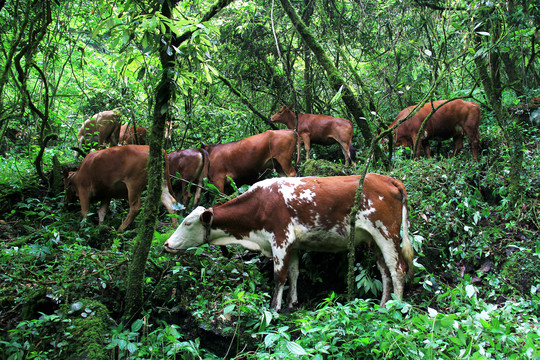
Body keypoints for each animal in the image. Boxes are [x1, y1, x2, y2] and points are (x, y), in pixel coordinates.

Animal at [163, 173, 414, 310]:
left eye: (187, 223)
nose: (166, 244)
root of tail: (387, 179)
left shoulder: (280, 238)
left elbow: (279, 276)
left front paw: (275, 307)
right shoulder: (292, 244)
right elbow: (293, 273)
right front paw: (292, 303)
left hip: (386, 232)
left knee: (398, 269)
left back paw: (397, 308)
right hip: (375, 239)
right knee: (385, 271)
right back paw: (383, 305)